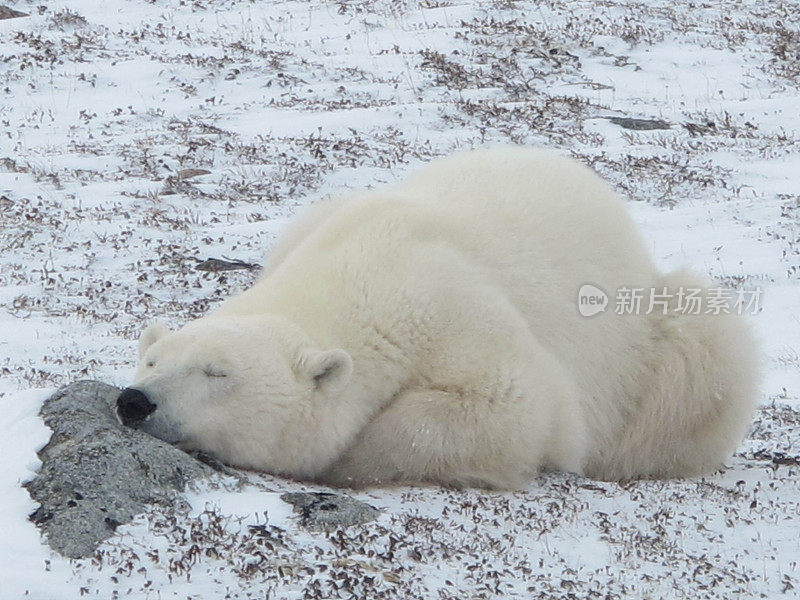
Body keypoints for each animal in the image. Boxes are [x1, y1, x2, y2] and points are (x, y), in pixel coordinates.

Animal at [119, 148, 756, 490]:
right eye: (151, 359)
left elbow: (507, 406)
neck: (364, 267)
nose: (135, 401)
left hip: (640, 335)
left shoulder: (459, 310)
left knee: (701, 359)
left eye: (216, 372)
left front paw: (347, 460)